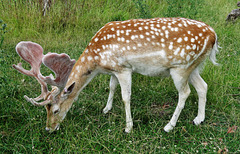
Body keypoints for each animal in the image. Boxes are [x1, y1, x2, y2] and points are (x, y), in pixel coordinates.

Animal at [13, 17, 219, 133]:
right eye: (46, 110)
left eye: (55, 110)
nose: (49, 128)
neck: (96, 60)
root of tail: (213, 36)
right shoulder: (113, 69)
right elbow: (111, 86)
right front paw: (106, 109)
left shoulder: (124, 68)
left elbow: (126, 97)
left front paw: (128, 127)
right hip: (194, 67)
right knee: (203, 86)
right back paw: (199, 119)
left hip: (180, 67)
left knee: (185, 93)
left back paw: (169, 126)